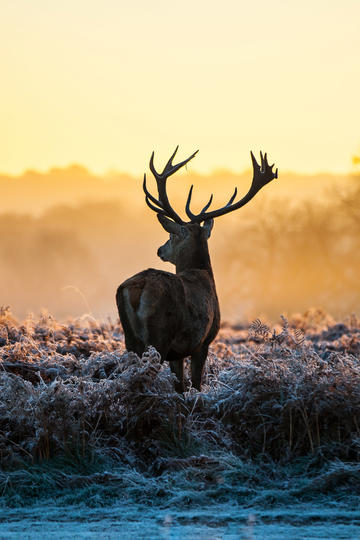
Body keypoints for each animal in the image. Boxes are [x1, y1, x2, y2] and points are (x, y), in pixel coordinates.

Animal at [116, 148, 278, 392]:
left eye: (171, 235)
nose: (160, 250)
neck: (203, 274)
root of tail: (137, 288)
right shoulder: (203, 341)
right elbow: (195, 384)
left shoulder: (178, 352)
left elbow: (180, 386)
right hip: (159, 336)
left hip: (131, 339)